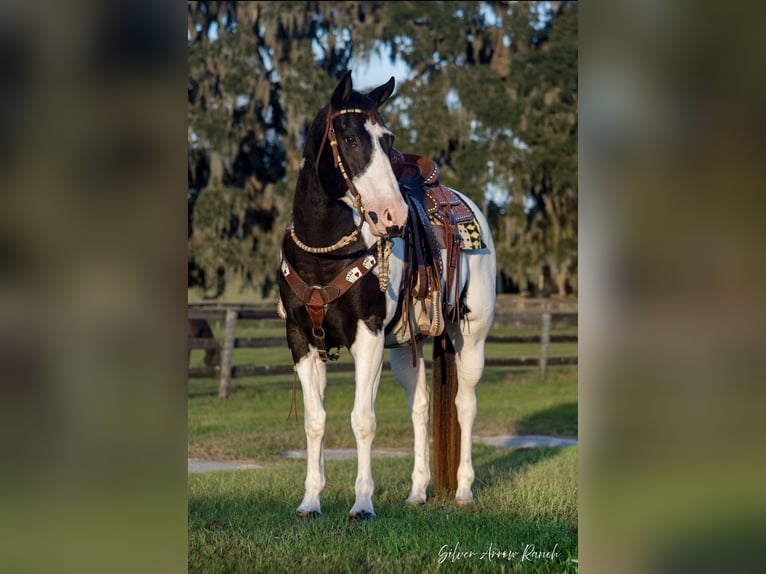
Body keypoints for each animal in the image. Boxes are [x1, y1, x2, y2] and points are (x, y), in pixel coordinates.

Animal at [278, 72, 498, 520]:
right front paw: (310, 501)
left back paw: (464, 490)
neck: (323, 252)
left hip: (471, 336)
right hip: (404, 348)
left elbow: (363, 419)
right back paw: (417, 492)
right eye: (348, 137)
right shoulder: (301, 340)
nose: (393, 216)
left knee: (465, 404)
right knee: (420, 407)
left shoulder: (368, 337)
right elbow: (314, 421)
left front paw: (362, 504)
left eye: (388, 138)